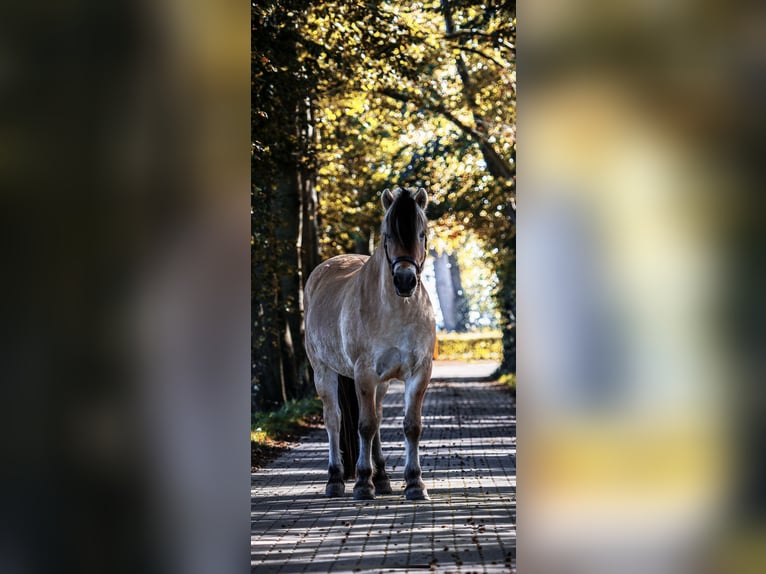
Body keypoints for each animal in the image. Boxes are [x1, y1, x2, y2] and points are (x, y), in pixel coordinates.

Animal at [306, 188, 438, 500]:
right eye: (387, 235)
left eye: (422, 233)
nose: (405, 280)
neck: (398, 310)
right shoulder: (364, 374)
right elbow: (364, 426)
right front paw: (363, 483)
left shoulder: (419, 373)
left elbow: (411, 426)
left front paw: (415, 483)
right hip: (323, 371)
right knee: (334, 420)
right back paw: (336, 479)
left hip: (382, 383)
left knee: (377, 417)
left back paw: (383, 479)